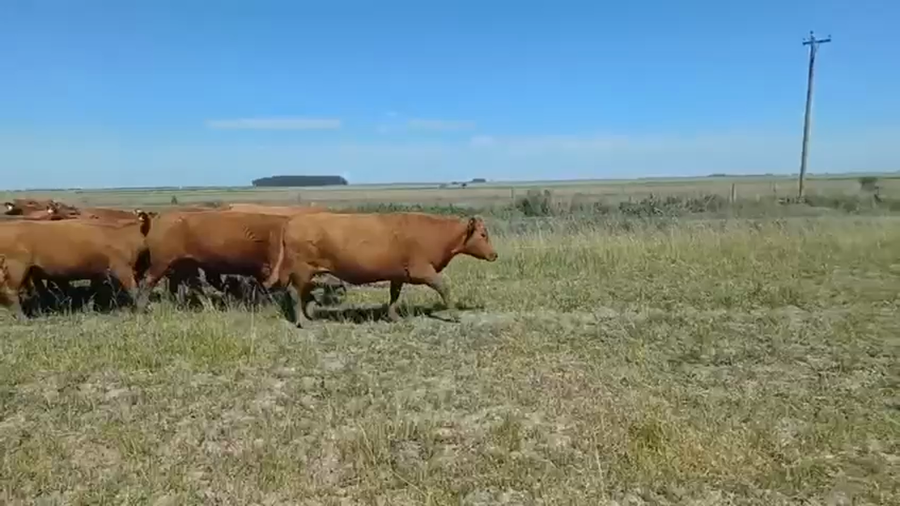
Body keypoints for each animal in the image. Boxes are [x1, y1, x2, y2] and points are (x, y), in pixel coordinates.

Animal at [0, 211, 152, 319]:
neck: (124, 236)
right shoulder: (121, 267)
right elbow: (133, 289)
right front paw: (142, 309)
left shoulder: (99, 271)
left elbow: (94, 290)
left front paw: (90, 308)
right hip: (16, 268)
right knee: (10, 292)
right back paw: (23, 318)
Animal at [134, 210, 289, 311]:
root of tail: (156, 219)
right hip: (162, 264)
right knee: (149, 281)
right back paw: (141, 308)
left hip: (185, 265)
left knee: (192, 285)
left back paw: (208, 306)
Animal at [277, 212, 498, 327]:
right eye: (483, 234)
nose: (494, 255)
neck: (436, 234)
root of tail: (292, 222)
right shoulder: (422, 271)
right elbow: (444, 287)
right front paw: (454, 315)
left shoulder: (398, 274)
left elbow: (394, 295)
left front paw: (394, 317)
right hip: (302, 270)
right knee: (295, 293)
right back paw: (302, 321)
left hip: (309, 272)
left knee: (305, 293)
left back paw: (309, 316)